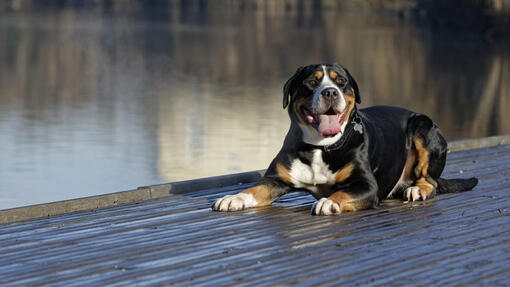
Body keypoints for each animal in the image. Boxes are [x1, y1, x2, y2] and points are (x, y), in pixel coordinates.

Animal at [212, 63, 478, 216]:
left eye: (341, 82)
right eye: (312, 82)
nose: (330, 92)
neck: (321, 147)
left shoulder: (366, 185)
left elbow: (341, 194)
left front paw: (330, 202)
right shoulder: (276, 179)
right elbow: (255, 189)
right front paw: (234, 198)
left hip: (423, 125)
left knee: (430, 181)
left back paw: (417, 190)